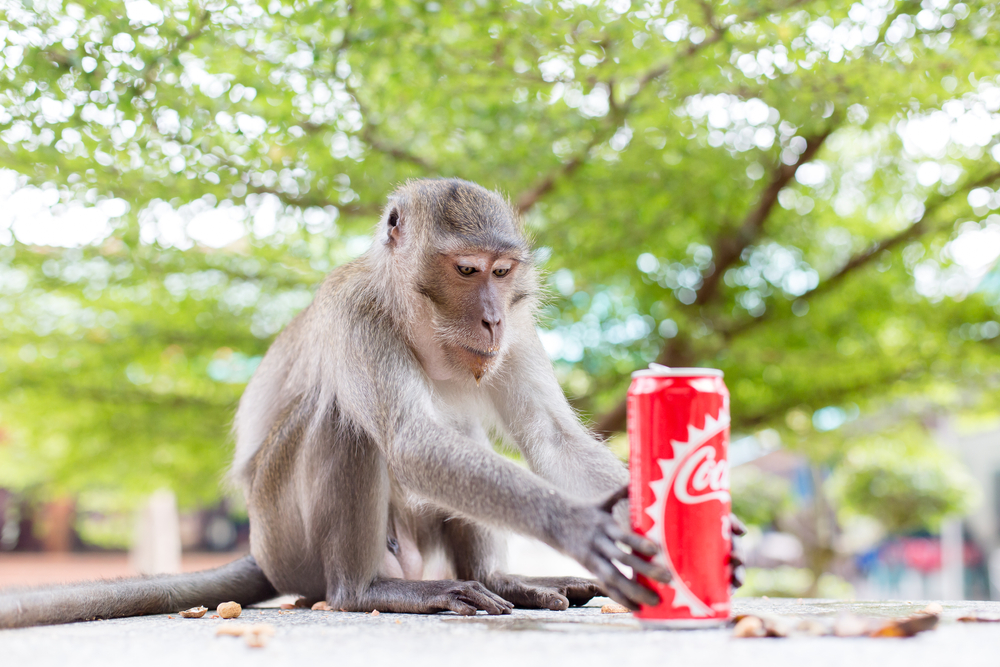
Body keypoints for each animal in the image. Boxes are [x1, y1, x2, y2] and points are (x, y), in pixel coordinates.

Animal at [1, 176, 744, 628]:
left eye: (502, 273)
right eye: (466, 270)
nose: (491, 319)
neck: (422, 328)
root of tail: (260, 550)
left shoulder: (521, 334)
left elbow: (551, 437)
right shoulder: (359, 315)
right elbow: (408, 442)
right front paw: (579, 527)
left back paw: (499, 582)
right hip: (288, 538)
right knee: (346, 422)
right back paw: (367, 591)